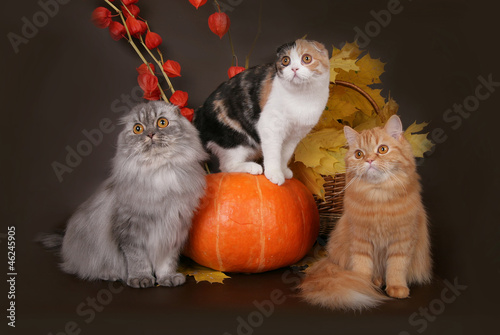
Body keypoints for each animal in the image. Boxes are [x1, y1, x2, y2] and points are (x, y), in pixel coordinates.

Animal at [39, 102, 209, 288]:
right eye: (137, 128)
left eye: (162, 122)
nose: (150, 134)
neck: (159, 172)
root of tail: (65, 242)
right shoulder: (130, 230)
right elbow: (138, 260)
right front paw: (141, 278)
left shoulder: (173, 228)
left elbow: (166, 262)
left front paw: (167, 277)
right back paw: (109, 274)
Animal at [193, 40, 330, 186]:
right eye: (285, 60)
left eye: (307, 58)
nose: (294, 68)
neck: (302, 97)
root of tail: (199, 113)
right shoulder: (270, 126)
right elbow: (273, 152)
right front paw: (274, 173)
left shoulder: (295, 136)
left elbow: (285, 154)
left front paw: (283, 170)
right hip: (235, 139)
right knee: (227, 167)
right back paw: (252, 167)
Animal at [298, 115, 432, 310]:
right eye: (359, 154)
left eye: (382, 149)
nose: (368, 160)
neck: (378, 198)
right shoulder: (360, 240)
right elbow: (362, 268)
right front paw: (360, 285)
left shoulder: (402, 240)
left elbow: (396, 268)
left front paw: (397, 288)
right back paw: (375, 282)